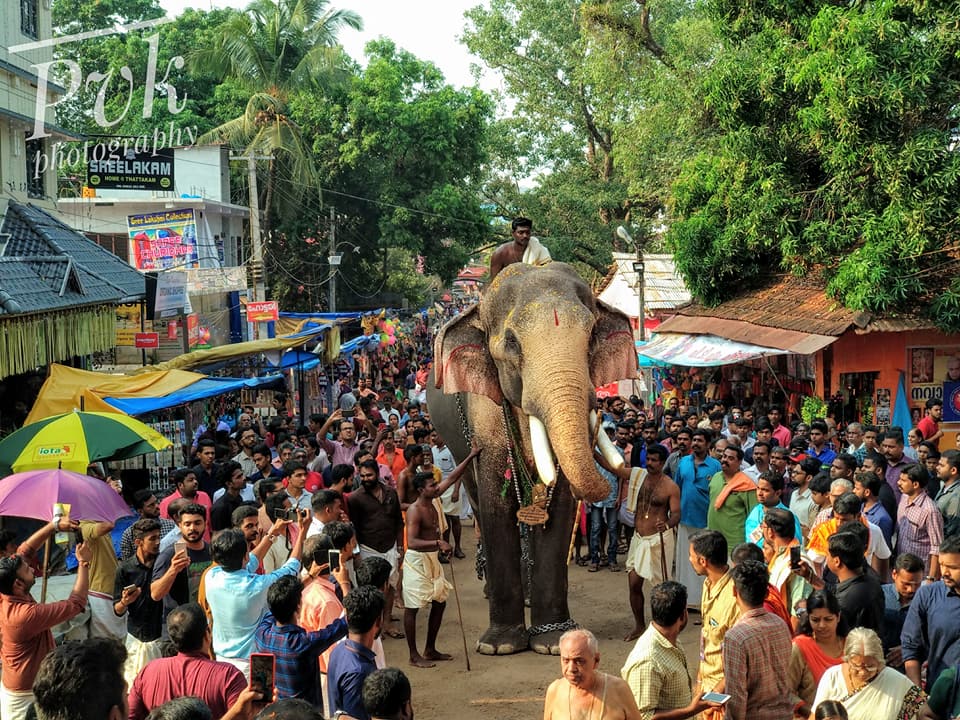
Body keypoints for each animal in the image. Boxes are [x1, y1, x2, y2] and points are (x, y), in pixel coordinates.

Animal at [426, 262, 636, 656]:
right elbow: (496, 503)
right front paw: (500, 645)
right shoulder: (483, 408)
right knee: (478, 501)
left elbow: (561, 506)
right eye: (511, 343)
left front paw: (552, 642)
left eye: (591, 337)